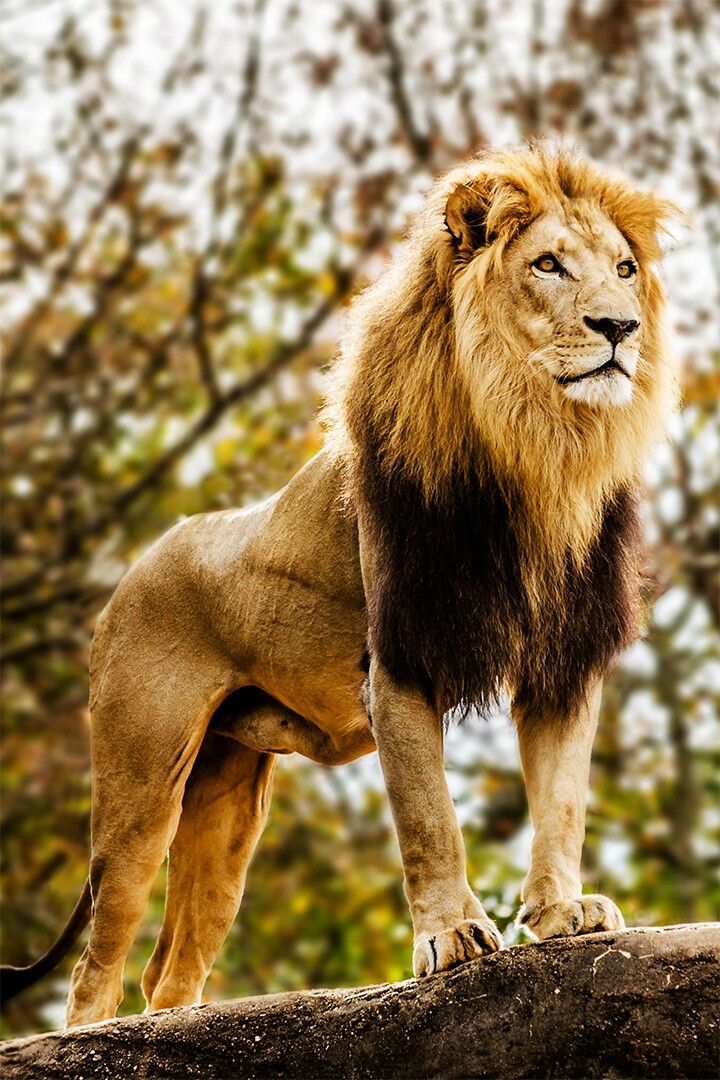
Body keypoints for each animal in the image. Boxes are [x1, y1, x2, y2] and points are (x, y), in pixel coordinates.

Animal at [1, 142, 679, 1028]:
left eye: (625, 271)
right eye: (548, 265)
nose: (620, 328)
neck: (537, 449)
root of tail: (132, 573)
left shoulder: (560, 661)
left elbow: (562, 800)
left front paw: (564, 913)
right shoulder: (400, 660)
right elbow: (429, 816)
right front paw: (451, 935)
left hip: (227, 804)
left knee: (171, 970)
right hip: (141, 788)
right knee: (98, 966)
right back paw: (93, 1035)